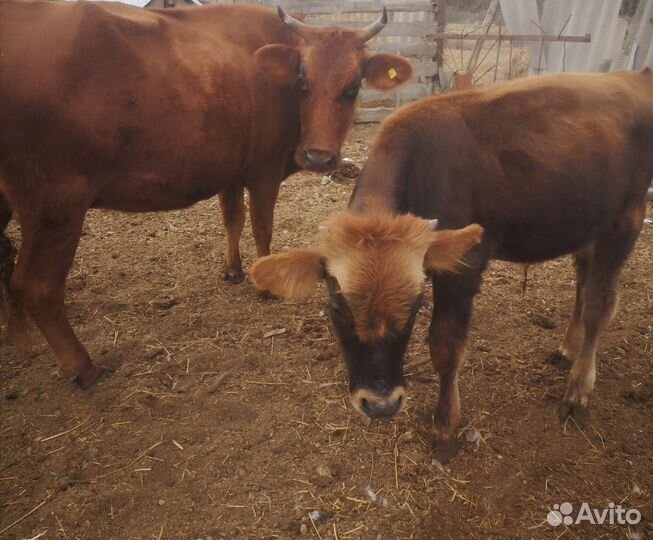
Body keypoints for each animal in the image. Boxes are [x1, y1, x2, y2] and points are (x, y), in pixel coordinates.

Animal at [0, 0, 413, 388]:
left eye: (353, 86)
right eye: (302, 82)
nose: (319, 157)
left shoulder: (230, 170)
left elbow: (233, 219)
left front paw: (233, 270)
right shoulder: (263, 171)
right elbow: (261, 226)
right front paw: (265, 283)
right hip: (56, 203)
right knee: (37, 286)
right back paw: (83, 367)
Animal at [251, 68, 653, 462]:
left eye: (415, 307)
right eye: (336, 309)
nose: (381, 405)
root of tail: (634, 75)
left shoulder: (463, 270)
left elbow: (444, 349)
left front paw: (445, 427)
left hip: (626, 217)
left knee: (599, 306)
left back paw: (578, 390)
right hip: (586, 221)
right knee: (583, 281)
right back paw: (568, 348)